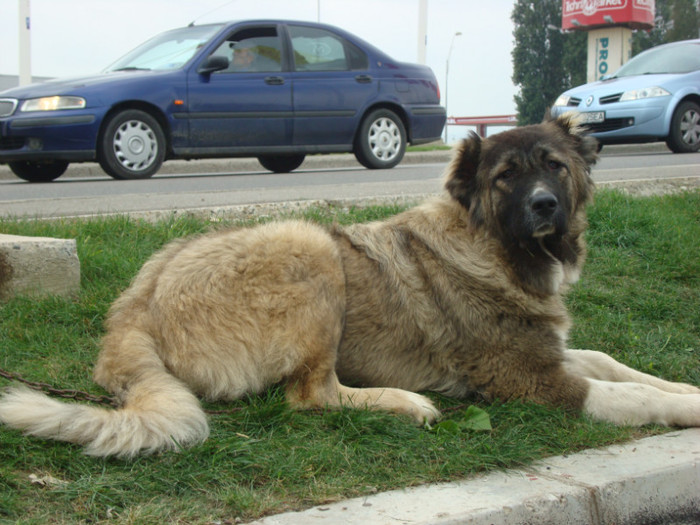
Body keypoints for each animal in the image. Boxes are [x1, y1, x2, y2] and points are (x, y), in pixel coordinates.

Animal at [0, 113, 696, 454]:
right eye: (506, 177)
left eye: (554, 166)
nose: (545, 205)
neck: (492, 246)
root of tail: (135, 309)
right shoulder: (531, 379)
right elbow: (629, 397)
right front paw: (686, 408)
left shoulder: (548, 351)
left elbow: (614, 364)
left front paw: (684, 385)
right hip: (309, 244)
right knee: (312, 395)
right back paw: (405, 403)